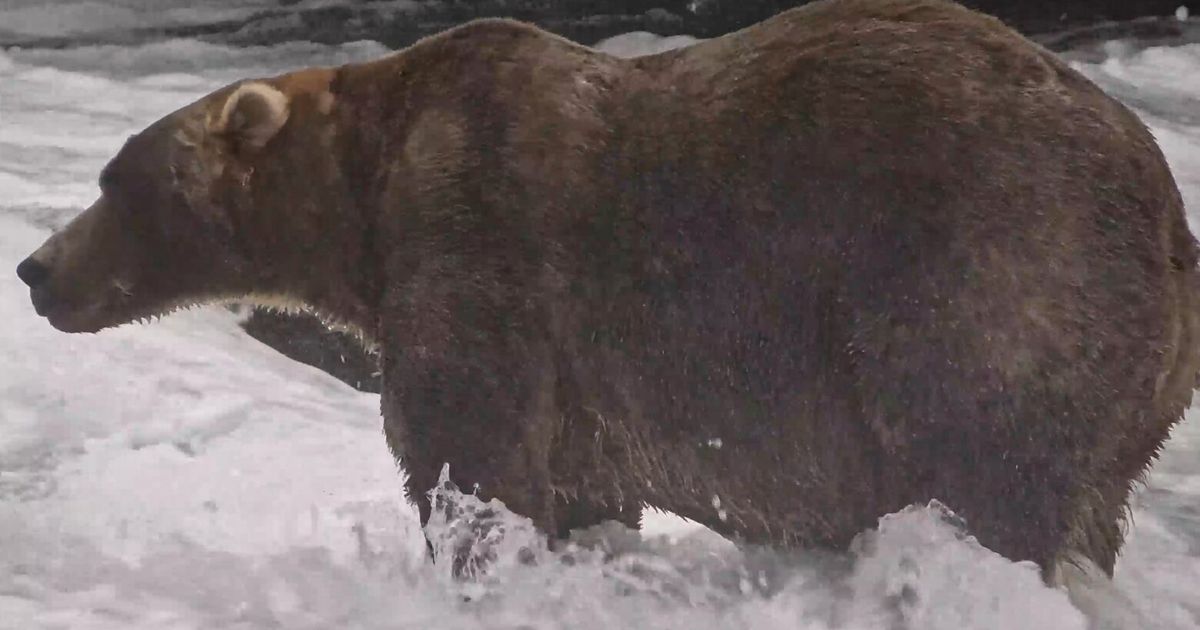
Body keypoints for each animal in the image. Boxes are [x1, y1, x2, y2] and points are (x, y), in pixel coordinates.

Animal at [16, 0, 1200, 581]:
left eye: (115, 179)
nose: (34, 269)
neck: (362, 201)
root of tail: (1167, 206)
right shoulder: (582, 378)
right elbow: (578, 484)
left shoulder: (479, 239)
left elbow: (469, 452)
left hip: (988, 272)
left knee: (986, 464)